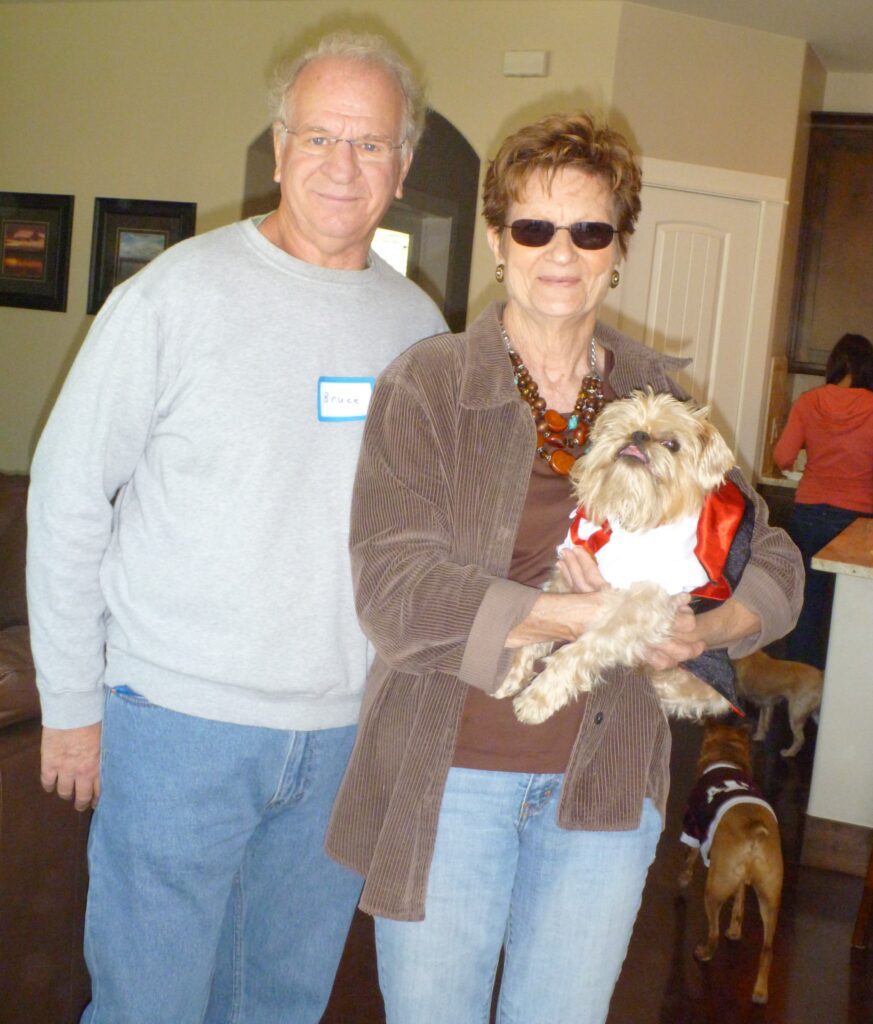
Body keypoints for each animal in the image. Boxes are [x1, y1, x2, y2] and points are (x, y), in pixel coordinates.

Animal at [497, 387, 740, 724]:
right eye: (626, 425)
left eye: (673, 445)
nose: (639, 434)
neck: (630, 516)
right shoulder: (564, 582)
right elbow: (537, 627)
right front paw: (513, 674)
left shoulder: (639, 609)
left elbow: (579, 651)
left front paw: (538, 697)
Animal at [675, 724, 781, 1003]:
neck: (727, 757)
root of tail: (755, 833)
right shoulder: (741, 880)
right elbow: (739, 904)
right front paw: (735, 930)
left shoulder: (691, 829)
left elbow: (688, 860)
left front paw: (682, 882)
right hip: (769, 896)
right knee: (767, 949)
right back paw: (760, 992)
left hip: (714, 889)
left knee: (712, 933)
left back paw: (702, 953)